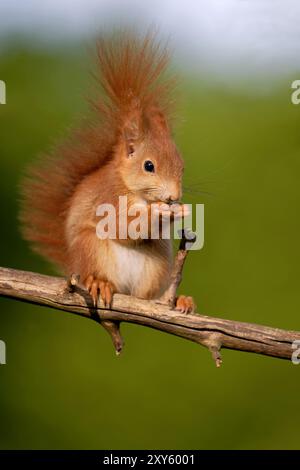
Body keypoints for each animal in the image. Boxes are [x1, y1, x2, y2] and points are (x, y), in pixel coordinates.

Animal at [20, 31, 195, 314]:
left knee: (147, 297)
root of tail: (74, 265)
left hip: (157, 262)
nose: (173, 196)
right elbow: (123, 225)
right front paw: (159, 211)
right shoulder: (108, 198)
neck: (131, 188)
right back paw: (99, 283)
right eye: (149, 166)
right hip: (92, 248)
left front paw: (180, 209)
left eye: (182, 166)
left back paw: (176, 300)